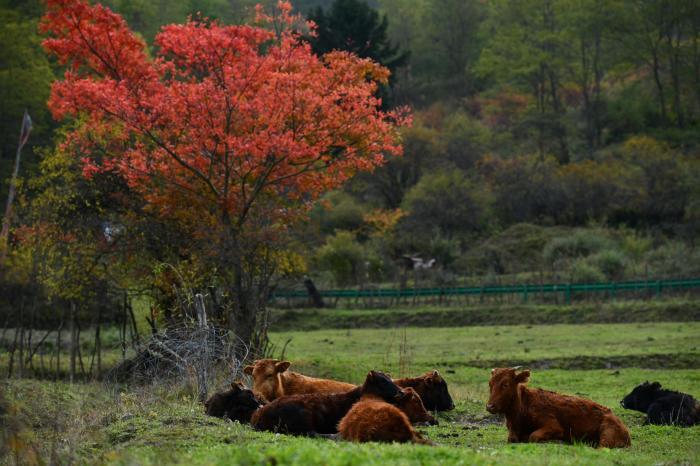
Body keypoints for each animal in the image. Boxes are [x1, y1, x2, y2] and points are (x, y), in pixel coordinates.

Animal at [486, 368, 628, 448]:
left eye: (505, 384)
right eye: (490, 384)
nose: (489, 406)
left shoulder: (554, 426)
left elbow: (533, 436)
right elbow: (512, 439)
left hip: (607, 433)